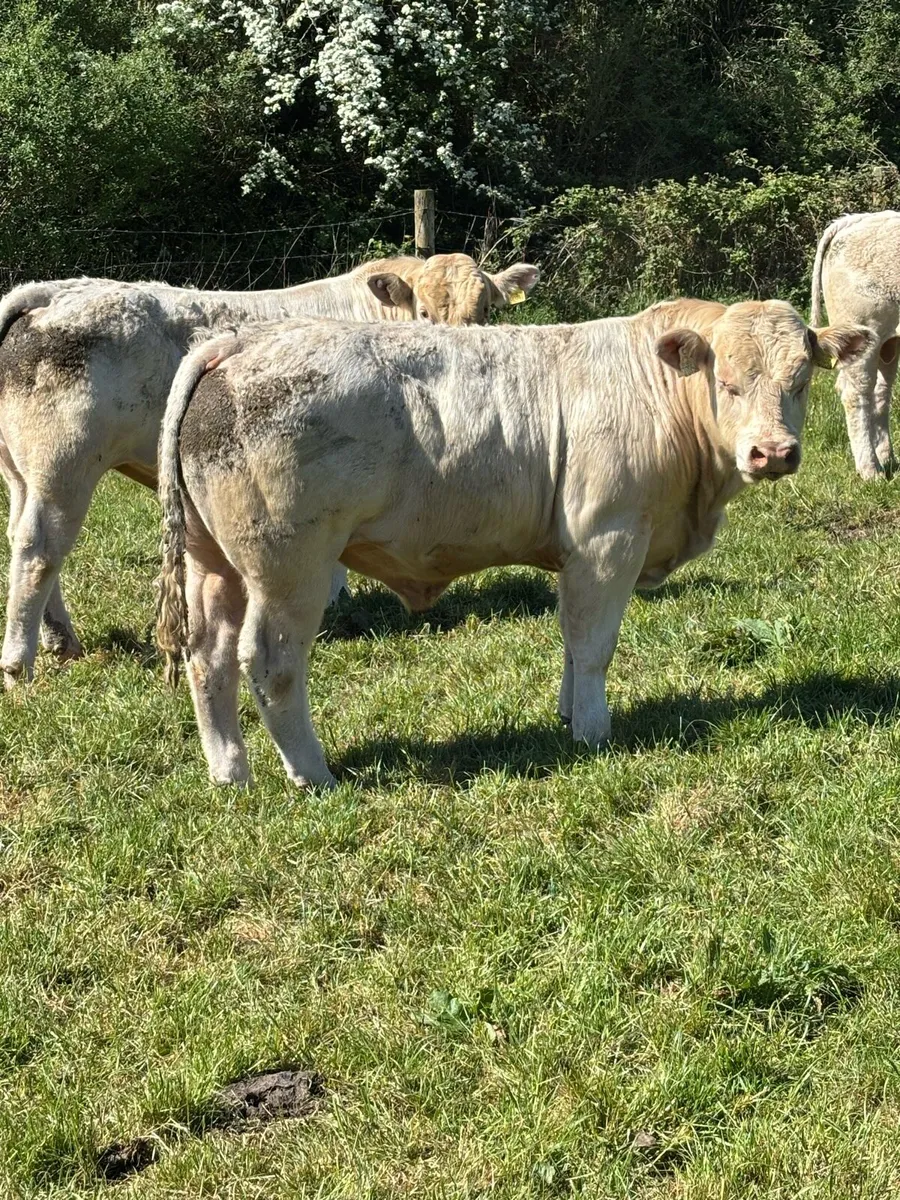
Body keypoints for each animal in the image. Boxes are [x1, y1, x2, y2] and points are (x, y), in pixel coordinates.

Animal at [0, 253, 539, 687]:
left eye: (486, 310)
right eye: (425, 313)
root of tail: (56, 291)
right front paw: (335, 595)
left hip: (24, 475)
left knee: (24, 538)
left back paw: (61, 641)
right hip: (64, 466)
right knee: (38, 547)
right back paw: (20, 662)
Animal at [155, 298, 872, 790]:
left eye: (801, 379)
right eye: (727, 382)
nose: (773, 453)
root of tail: (238, 342)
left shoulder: (576, 555)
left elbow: (571, 640)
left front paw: (568, 715)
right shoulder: (608, 539)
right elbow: (594, 645)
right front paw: (594, 732)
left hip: (213, 562)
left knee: (207, 655)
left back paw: (230, 771)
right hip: (289, 568)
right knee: (270, 662)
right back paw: (312, 774)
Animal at [811, 209, 900, 478]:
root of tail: (859, 219)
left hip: (888, 344)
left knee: (880, 392)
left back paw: (887, 458)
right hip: (862, 331)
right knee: (856, 395)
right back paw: (871, 470)